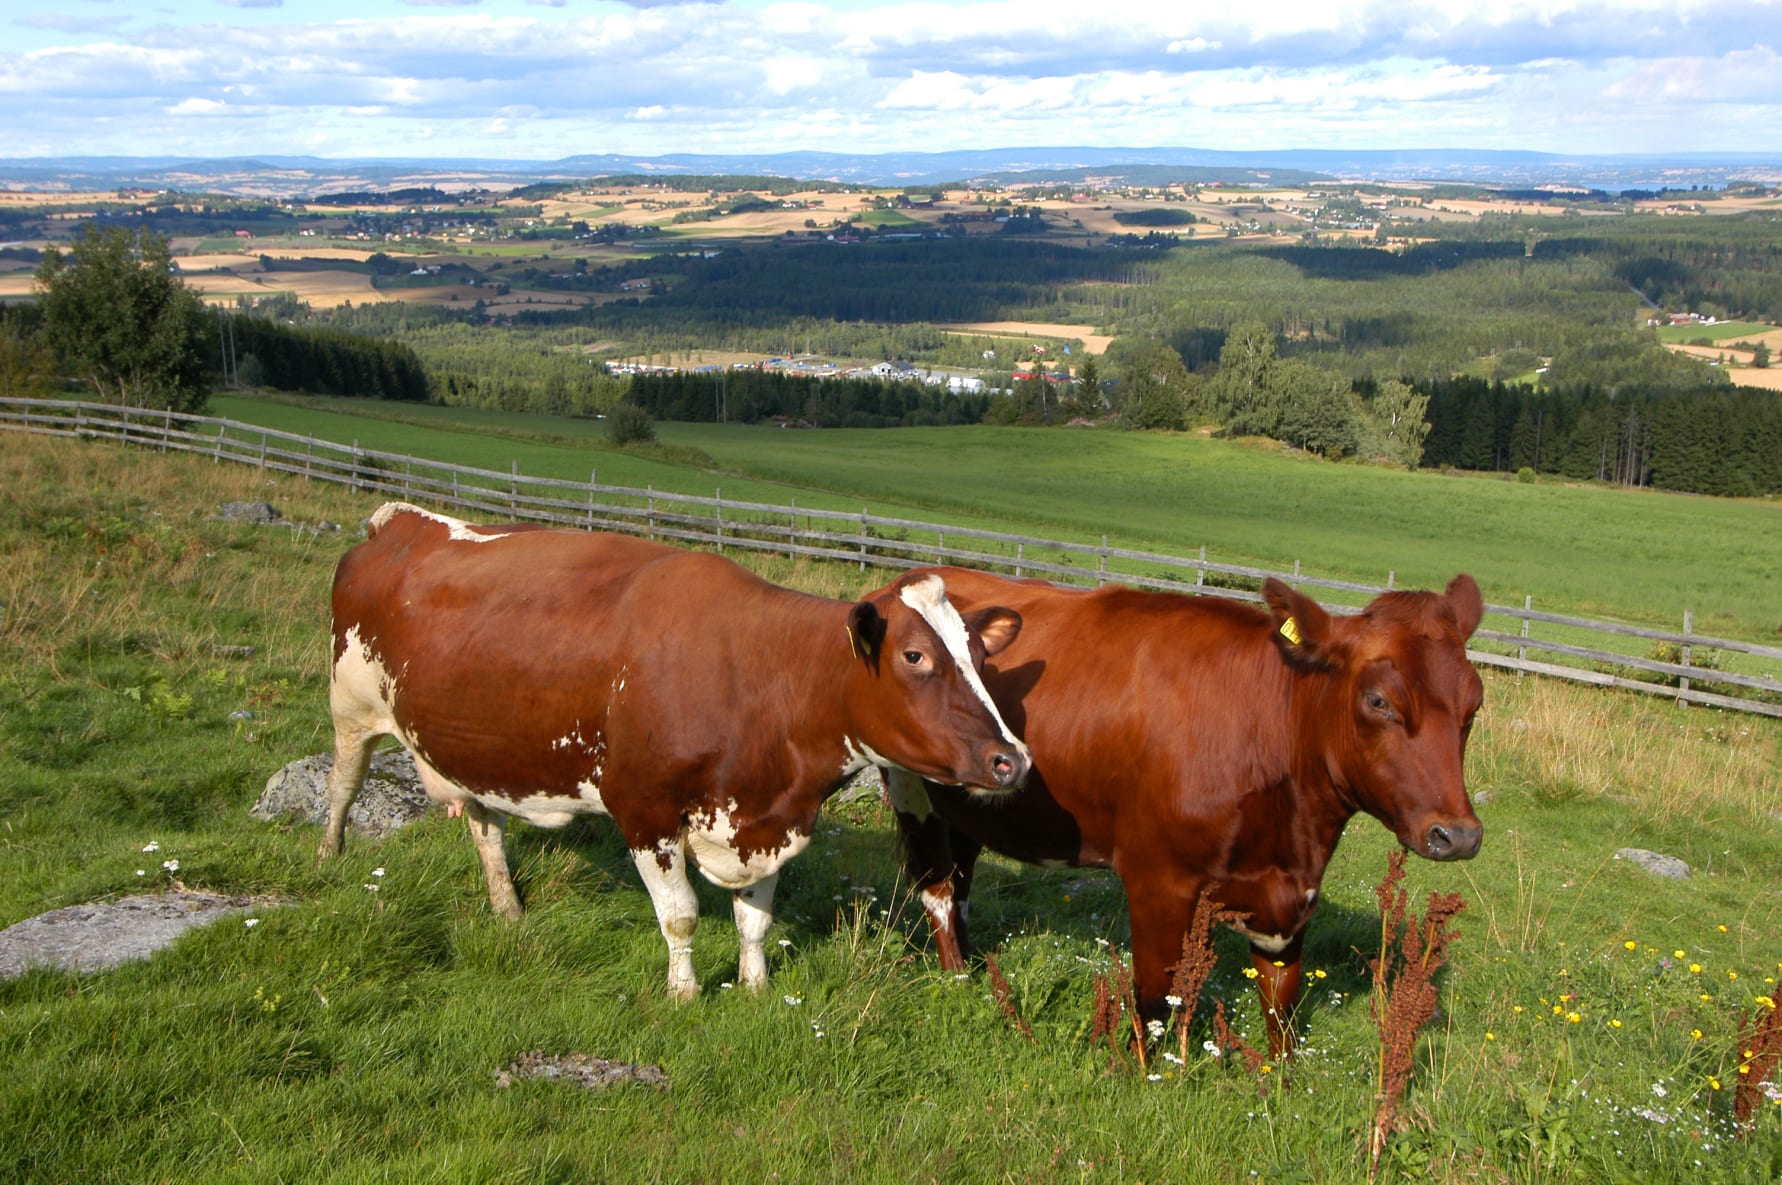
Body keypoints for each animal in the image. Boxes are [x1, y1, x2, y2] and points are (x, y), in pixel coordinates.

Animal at [318, 503, 1030, 999]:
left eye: (979, 652)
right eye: (914, 656)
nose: (1012, 759)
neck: (757, 674)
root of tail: (403, 521)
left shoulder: (764, 821)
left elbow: (755, 922)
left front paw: (756, 989)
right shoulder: (643, 809)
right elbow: (682, 916)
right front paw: (684, 994)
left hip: (469, 748)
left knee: (483, 822)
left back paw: (508, 908)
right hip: (350, 705)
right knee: (343, 785)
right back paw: (329, 855)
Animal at [880, 567, 1485, 1055]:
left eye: (1474, 705)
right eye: (1379, 700)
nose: (1456, 834)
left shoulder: (1289, 895)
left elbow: (1281, 1004)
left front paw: (1279, 1085)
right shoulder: (1158, 879)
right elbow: (1153, 996)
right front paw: (1139, 1072)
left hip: (970, 806)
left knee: (961, 878)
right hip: (910, 787)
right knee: (937, 887)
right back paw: (957, 979)